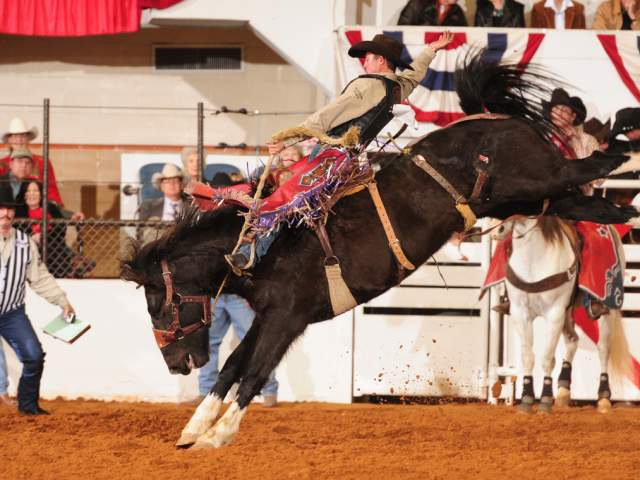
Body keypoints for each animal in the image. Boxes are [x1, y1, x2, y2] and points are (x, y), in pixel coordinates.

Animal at [120, 53, 640, 450]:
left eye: (156, 304)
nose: (176, 365)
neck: (262, 244)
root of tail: (495, 118)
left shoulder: (287, 317)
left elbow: (253, 373)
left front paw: (218, 434)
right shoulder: (268, 315)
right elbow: (232, 366)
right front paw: (193, 429)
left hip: (537, 179)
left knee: (596, 161)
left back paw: (624, 137)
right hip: (530, 197)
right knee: (583, 198)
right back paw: (623, 209)